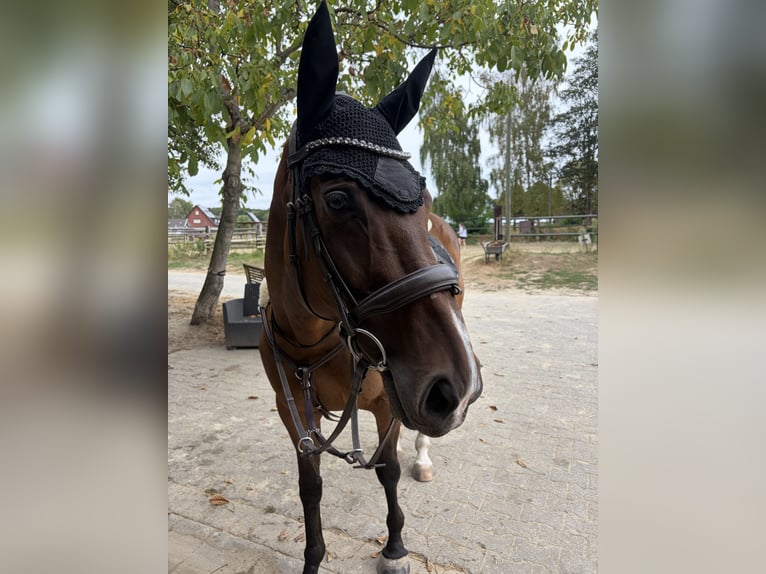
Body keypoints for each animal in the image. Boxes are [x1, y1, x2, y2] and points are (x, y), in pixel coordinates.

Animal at [258, 3, 483, 573]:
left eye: (420, 201)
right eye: (338, 199)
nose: (454, 386)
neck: (313, 340)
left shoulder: (389, 405)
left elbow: (388, 470)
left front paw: (395, 546)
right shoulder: (294, 416)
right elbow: (310, 488)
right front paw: (314, 558)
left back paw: (424, 457)